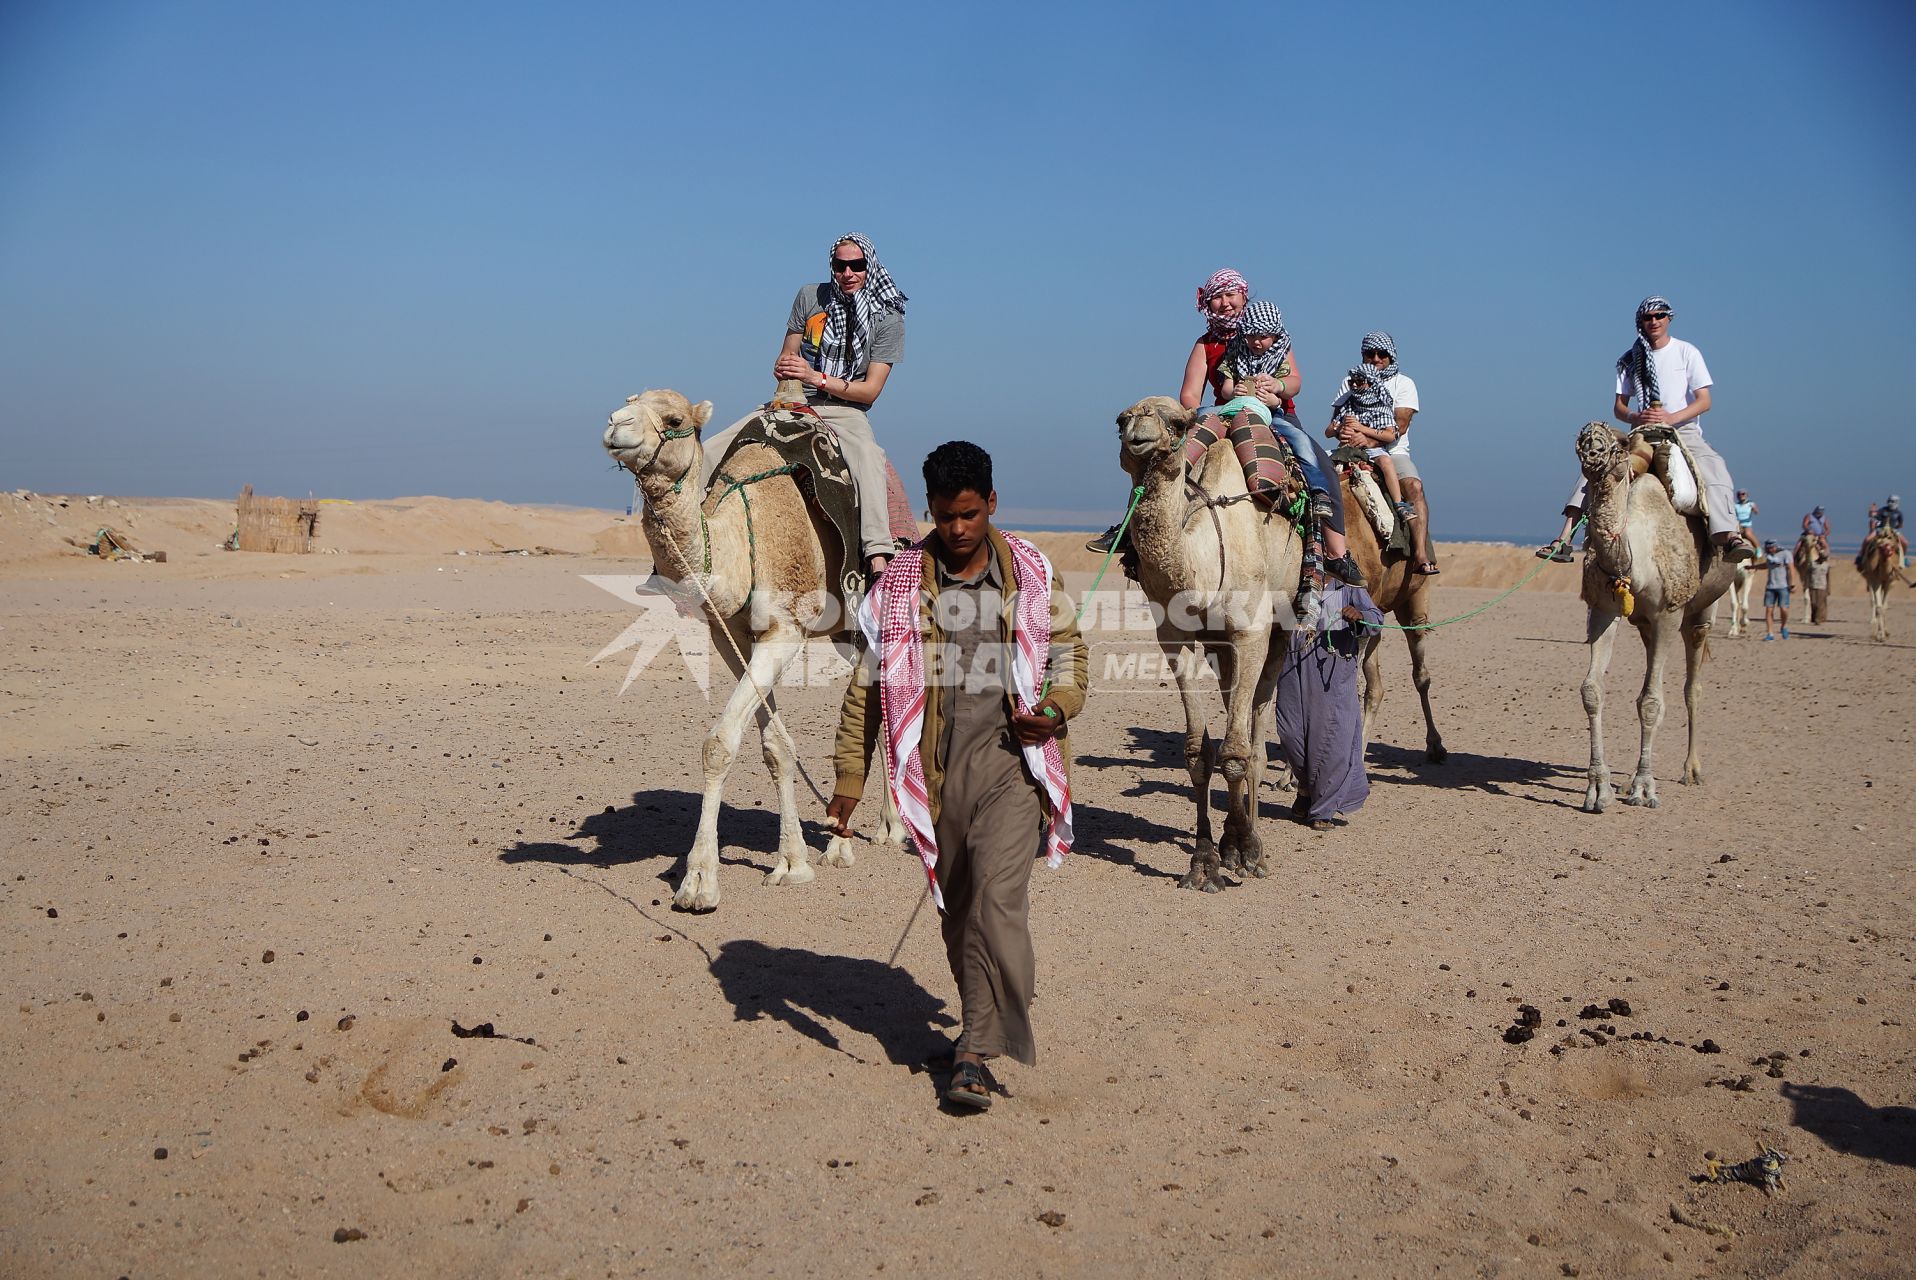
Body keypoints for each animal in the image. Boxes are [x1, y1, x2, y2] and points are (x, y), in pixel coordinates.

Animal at [597, 383, 896, 908]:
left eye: (674, 419)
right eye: (629, 401)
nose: (616, 423)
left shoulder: (785, 630)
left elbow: (720, 742)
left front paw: (698, 881)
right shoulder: (731, 634)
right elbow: (775, 744)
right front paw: (793, 862)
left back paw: (887, 832)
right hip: (845, 633)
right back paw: (844, 840)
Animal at [1118, 396, 1310, 889]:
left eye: (1178, 422)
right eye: (1120, 420)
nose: (1138, 430)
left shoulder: (1250, 630)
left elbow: (1238, 752)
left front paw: (1243, 849)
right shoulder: (1174, 637)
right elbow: (1198, 750)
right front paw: (1205, 860)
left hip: (1279, 631)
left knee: (1256, 731)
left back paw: (1255, 843)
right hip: (1221, 649)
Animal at [1571, 425, 1739, 816]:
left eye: (1616, 447)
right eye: (1580, 441)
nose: (1592, 451)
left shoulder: (1668, 613)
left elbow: (1651, 701)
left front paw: (1644, 788)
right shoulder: (1604, 609)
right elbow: (1592, 691)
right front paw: (1598, 789)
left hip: (1700, 613)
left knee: (1692, 685)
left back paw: (1691, 770)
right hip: (1644, 623)